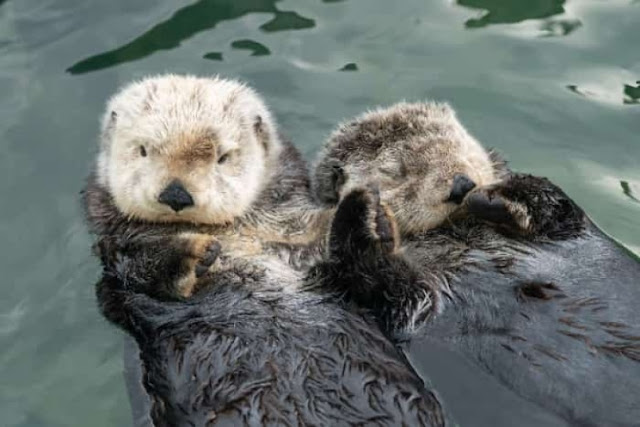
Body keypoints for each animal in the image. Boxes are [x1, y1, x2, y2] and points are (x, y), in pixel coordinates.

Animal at [314, 102, 640, 426]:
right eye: (398, 172)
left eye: (457, 144)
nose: (461, 185)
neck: (460, 234)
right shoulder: (412, 306)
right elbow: (395, 294)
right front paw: (365, 214)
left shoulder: (568, 229)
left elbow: (556, 204)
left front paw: (493, 195)